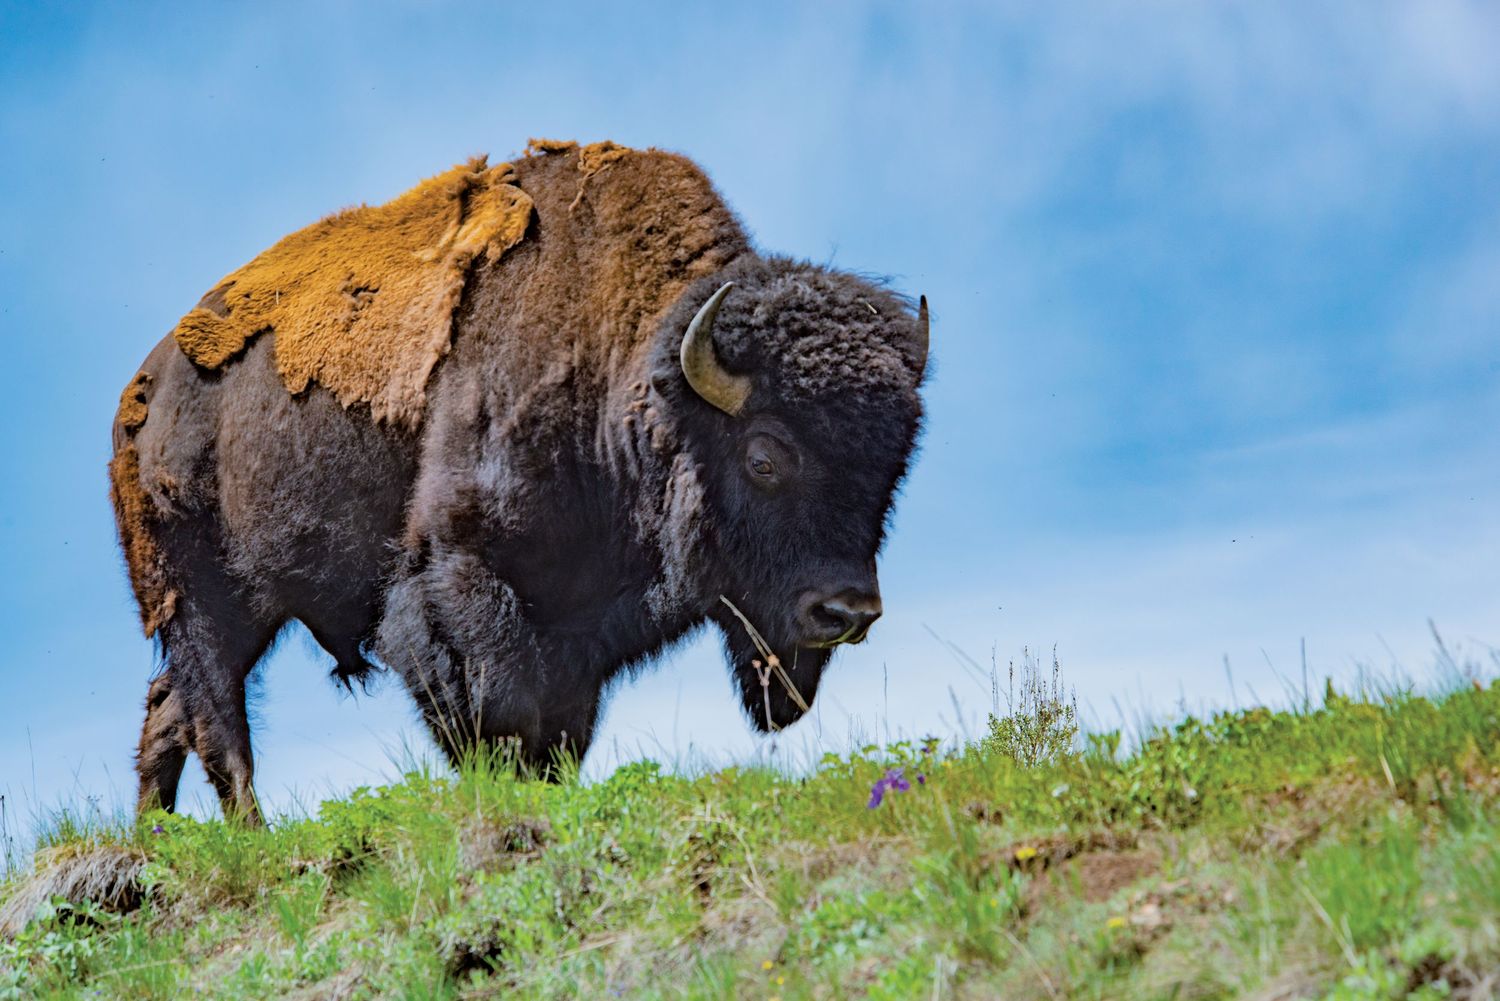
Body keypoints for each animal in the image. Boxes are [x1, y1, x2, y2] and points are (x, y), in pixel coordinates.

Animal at [110, 140, 927, 823]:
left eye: (896, 461)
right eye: (764, 457)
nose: (847, 611)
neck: (627, 379)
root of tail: (140, 398)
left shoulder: (578, 629)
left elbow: (561, 733)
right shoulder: (459, 578)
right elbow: (502, 712)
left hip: (247, 606)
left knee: (169, 706)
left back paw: (162, 843)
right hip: (205, 596)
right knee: (217, 717)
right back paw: (247, 832)